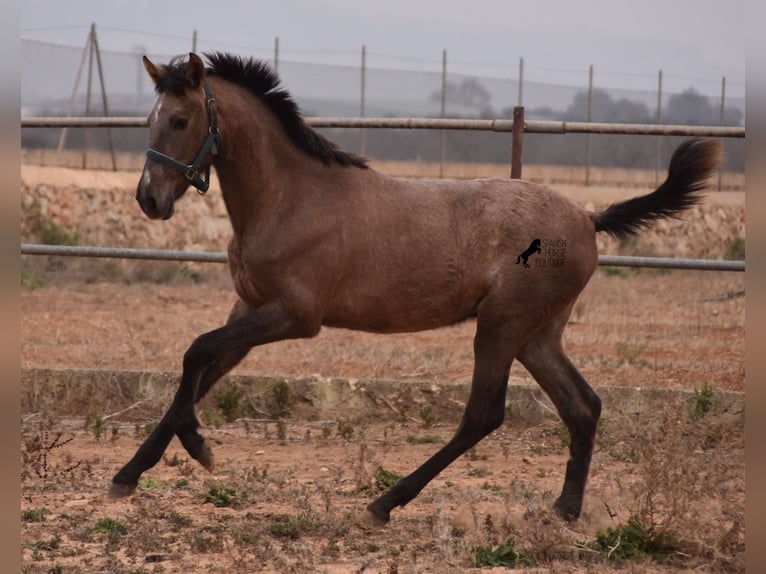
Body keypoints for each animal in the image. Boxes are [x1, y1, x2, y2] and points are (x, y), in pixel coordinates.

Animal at [109, 51, 728, 528]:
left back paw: (384, 504)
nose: (149, 200)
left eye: (181, 120)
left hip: (500, 327)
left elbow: (196, 353)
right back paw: (565, 512)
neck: (289, 198)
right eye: (150, 118)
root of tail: (587, 217)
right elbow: (201, 372)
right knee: (583, 406)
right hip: (537, 334)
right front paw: (128, 474)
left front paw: (200, 448)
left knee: (484, 416)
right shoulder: (250, 307)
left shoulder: (294, 316)